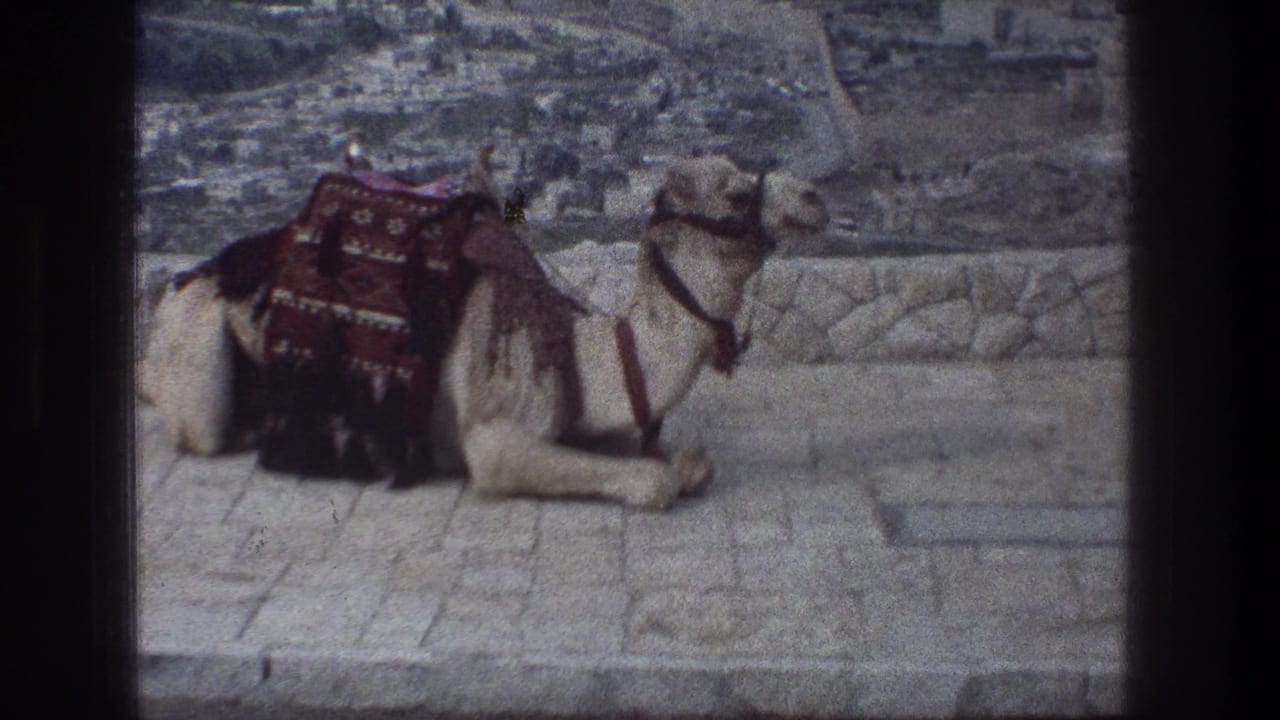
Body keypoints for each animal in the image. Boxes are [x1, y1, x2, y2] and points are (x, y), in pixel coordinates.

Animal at [140, 154, 828, 509]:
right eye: (736, 192)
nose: (815, 196)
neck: (580, 352)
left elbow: (675, 457)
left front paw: (684, 460)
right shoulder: (495, 436)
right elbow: (652, 478)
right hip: (194, 340)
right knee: (201, 428)